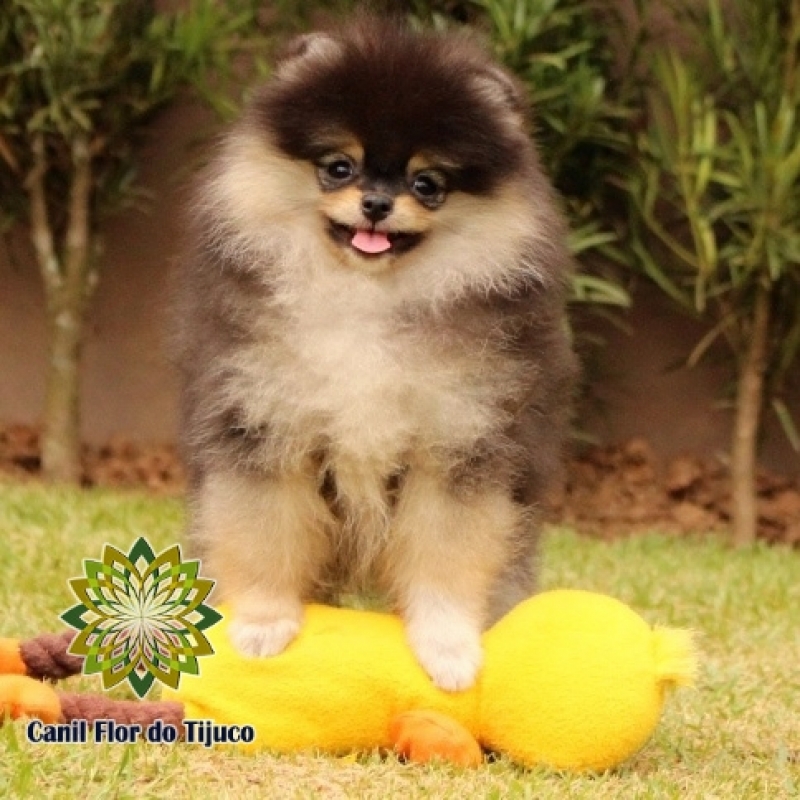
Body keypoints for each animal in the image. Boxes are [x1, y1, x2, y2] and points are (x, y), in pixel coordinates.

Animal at [173, 18, 576, 692]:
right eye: (339, 167)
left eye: (427, 184)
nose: (376, 204)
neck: (366, 299)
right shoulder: (264, 425)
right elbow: (264, 533)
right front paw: (262, 625)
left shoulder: (460, 441)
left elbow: (447, 553)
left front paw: (447, 648)